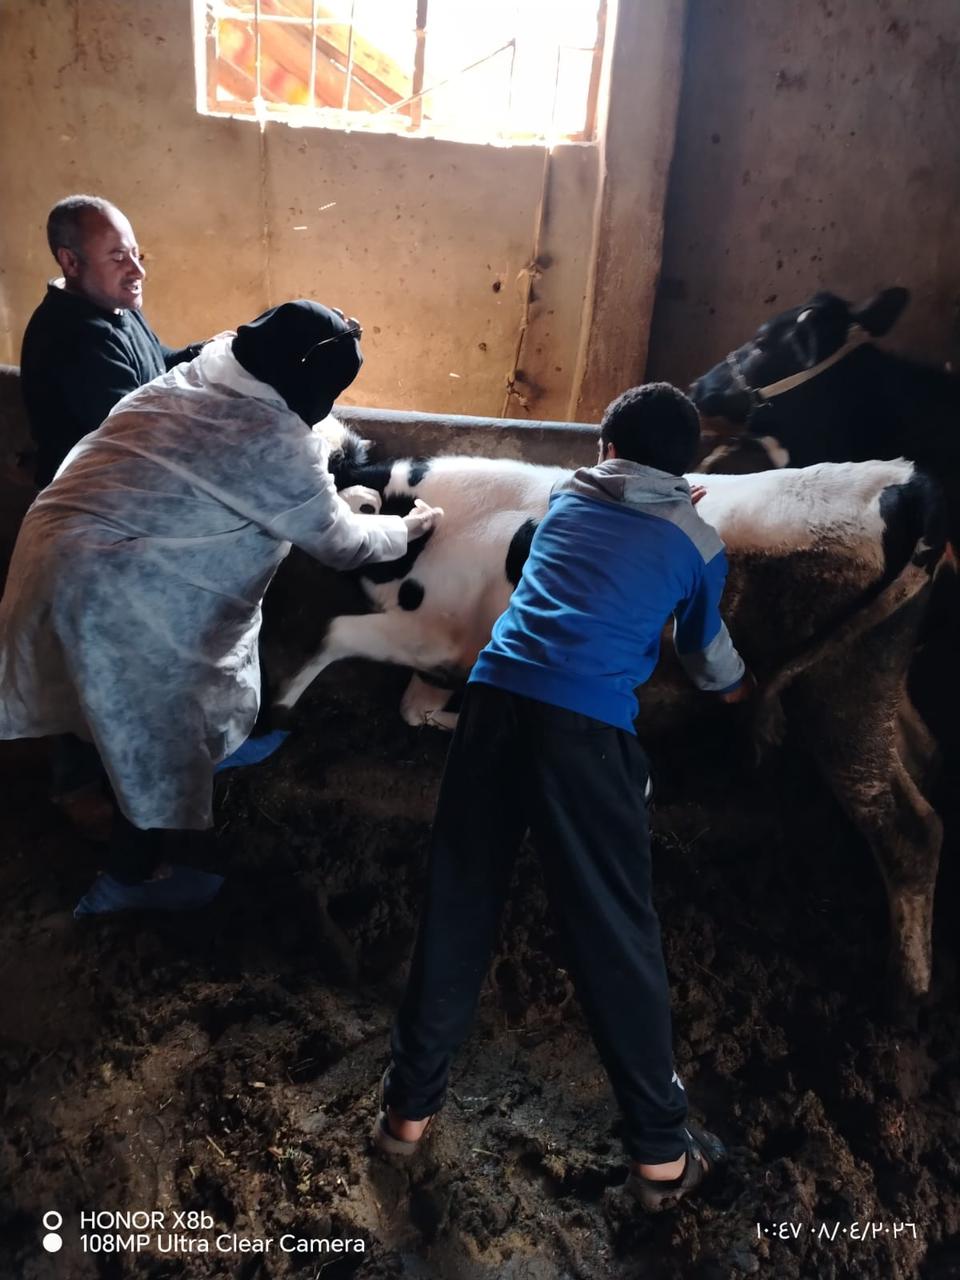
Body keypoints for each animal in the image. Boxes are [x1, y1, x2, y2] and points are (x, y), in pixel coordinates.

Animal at [273, 422, 947, 1004]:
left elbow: (335, 636)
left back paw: (903, 993)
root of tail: (906, 479)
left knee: (908, 829)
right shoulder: (449, 647)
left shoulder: (433, 631)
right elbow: (416, 706)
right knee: (925, 761)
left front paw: (279, 709)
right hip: (878, 677)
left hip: (838, 694)